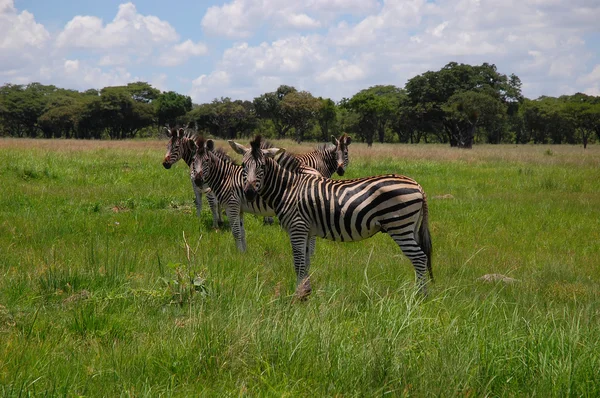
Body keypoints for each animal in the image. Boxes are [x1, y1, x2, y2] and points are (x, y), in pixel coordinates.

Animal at [191, 137, 322, 252]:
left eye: (206, 161)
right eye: (193, 160)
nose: (197, 180)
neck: (225, 177)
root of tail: (318, 174)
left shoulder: (232, 205)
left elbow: (236, 232)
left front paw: (238, 255)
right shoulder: (239, 208)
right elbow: (242, 232)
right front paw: (244, 253)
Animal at [229, 137, 432, 298]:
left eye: (262, 166)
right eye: (243, 166)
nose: (248, 193)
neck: (289, 188)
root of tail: (417, 185)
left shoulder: (297, 227)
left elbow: (298, 263)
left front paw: (298, 296)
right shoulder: (307, 230)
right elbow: (306, 262)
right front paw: (306, 292)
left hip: (399, 226)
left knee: (419, 258)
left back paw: (419, 298)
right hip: (410, 228)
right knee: (421, 257)